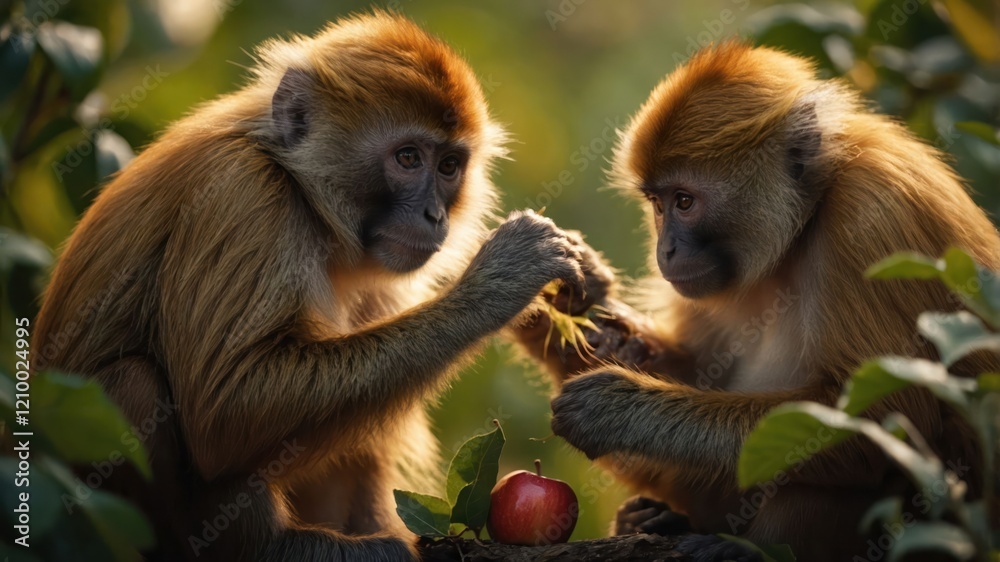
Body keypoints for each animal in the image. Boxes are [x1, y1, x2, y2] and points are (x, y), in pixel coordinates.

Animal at [32, 13, 586, 561]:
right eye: (408, 158)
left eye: (449, 167)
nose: (434, 215)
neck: (299, 189)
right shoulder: (242, 194)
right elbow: (223, 410)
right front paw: (497, 285)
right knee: (134, 384)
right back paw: (268, 546)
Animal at [515, 42, 1000, 561]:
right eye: (659, 205)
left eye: (684, 201)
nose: (665, 250)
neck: (806, 224)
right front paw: (589, 329)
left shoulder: (871, 215)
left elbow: (887, 420)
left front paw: (620, 410)